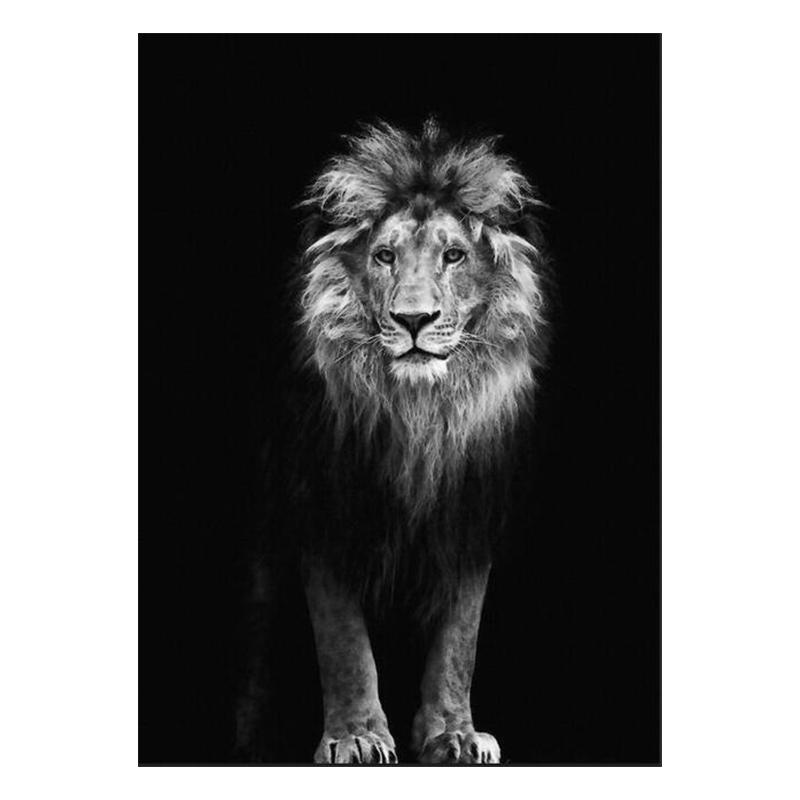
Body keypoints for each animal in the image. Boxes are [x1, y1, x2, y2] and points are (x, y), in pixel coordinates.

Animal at [271, 119, 548, 764]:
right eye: (384, 256)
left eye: (454, 255)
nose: (414, 320)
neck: (418, 416)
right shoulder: (323, 506)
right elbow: (343, 640)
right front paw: (355, 735)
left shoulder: (469, 517)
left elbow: (459, 641)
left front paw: (454, 733)